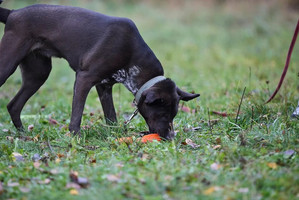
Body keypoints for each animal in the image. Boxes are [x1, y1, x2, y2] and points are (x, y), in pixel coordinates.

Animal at [0, 1, 202, 139]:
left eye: (174, 115)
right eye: (163, 114)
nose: (170, 138)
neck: (130, 52)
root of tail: (12, 13)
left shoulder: (104, 86)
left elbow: (111, 116)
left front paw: (115, 135)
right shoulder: (84, 78)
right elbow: (76, 115)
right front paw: (75, 138)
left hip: (38, 74)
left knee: (13, 105)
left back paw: (23, 135)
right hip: (8, 65)